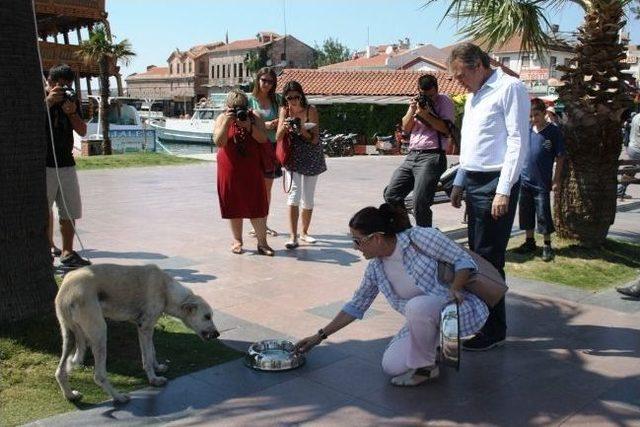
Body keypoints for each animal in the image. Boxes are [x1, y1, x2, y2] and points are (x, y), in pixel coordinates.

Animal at [53, 264, 218, 404]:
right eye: (207, 316)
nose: (217, 334)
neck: (165, 289)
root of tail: (66, 291)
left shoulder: (147, 327)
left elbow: (152, 351)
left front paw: (158, 367)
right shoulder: (145, 328)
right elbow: (147, 358)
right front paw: (154, 380)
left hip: (69, 336)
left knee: (60, 372)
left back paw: (70, 395)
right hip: (100, 333)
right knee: (99, 376)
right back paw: (119, 397)